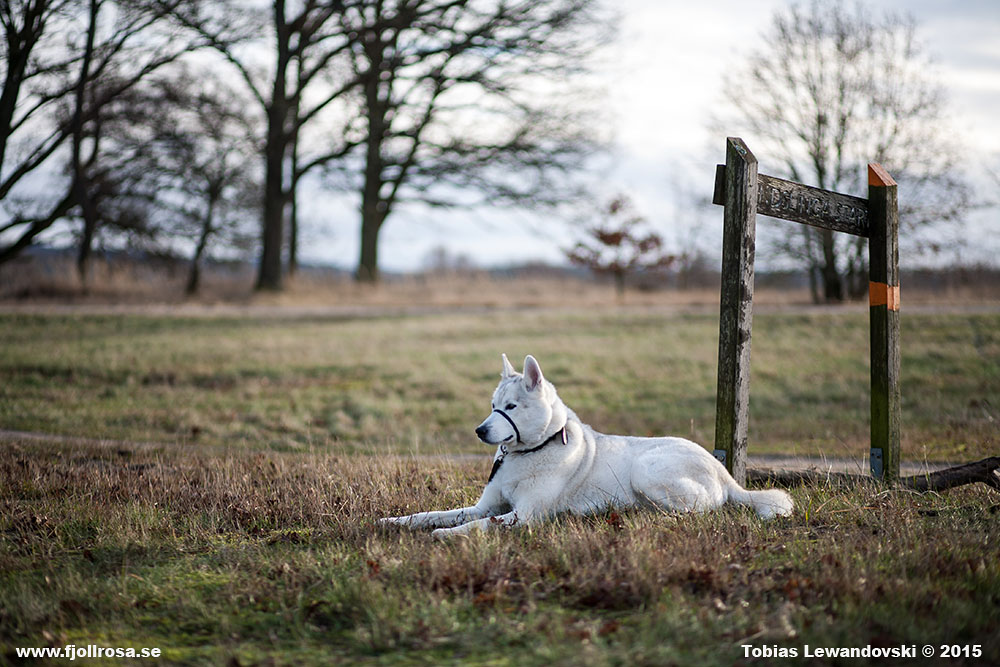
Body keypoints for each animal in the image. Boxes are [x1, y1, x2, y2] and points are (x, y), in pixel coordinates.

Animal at [380, 354, 792, 538]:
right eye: (493, 405)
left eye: (511, 407)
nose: (480, 431)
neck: (533, 451)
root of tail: (726, 474)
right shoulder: (485, 504)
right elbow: (434, 514)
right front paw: (396, 521)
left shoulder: (524, 515)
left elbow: (480, 525)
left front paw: (447, 536)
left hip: (649, 470)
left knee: (698, 512)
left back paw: (645, 518)